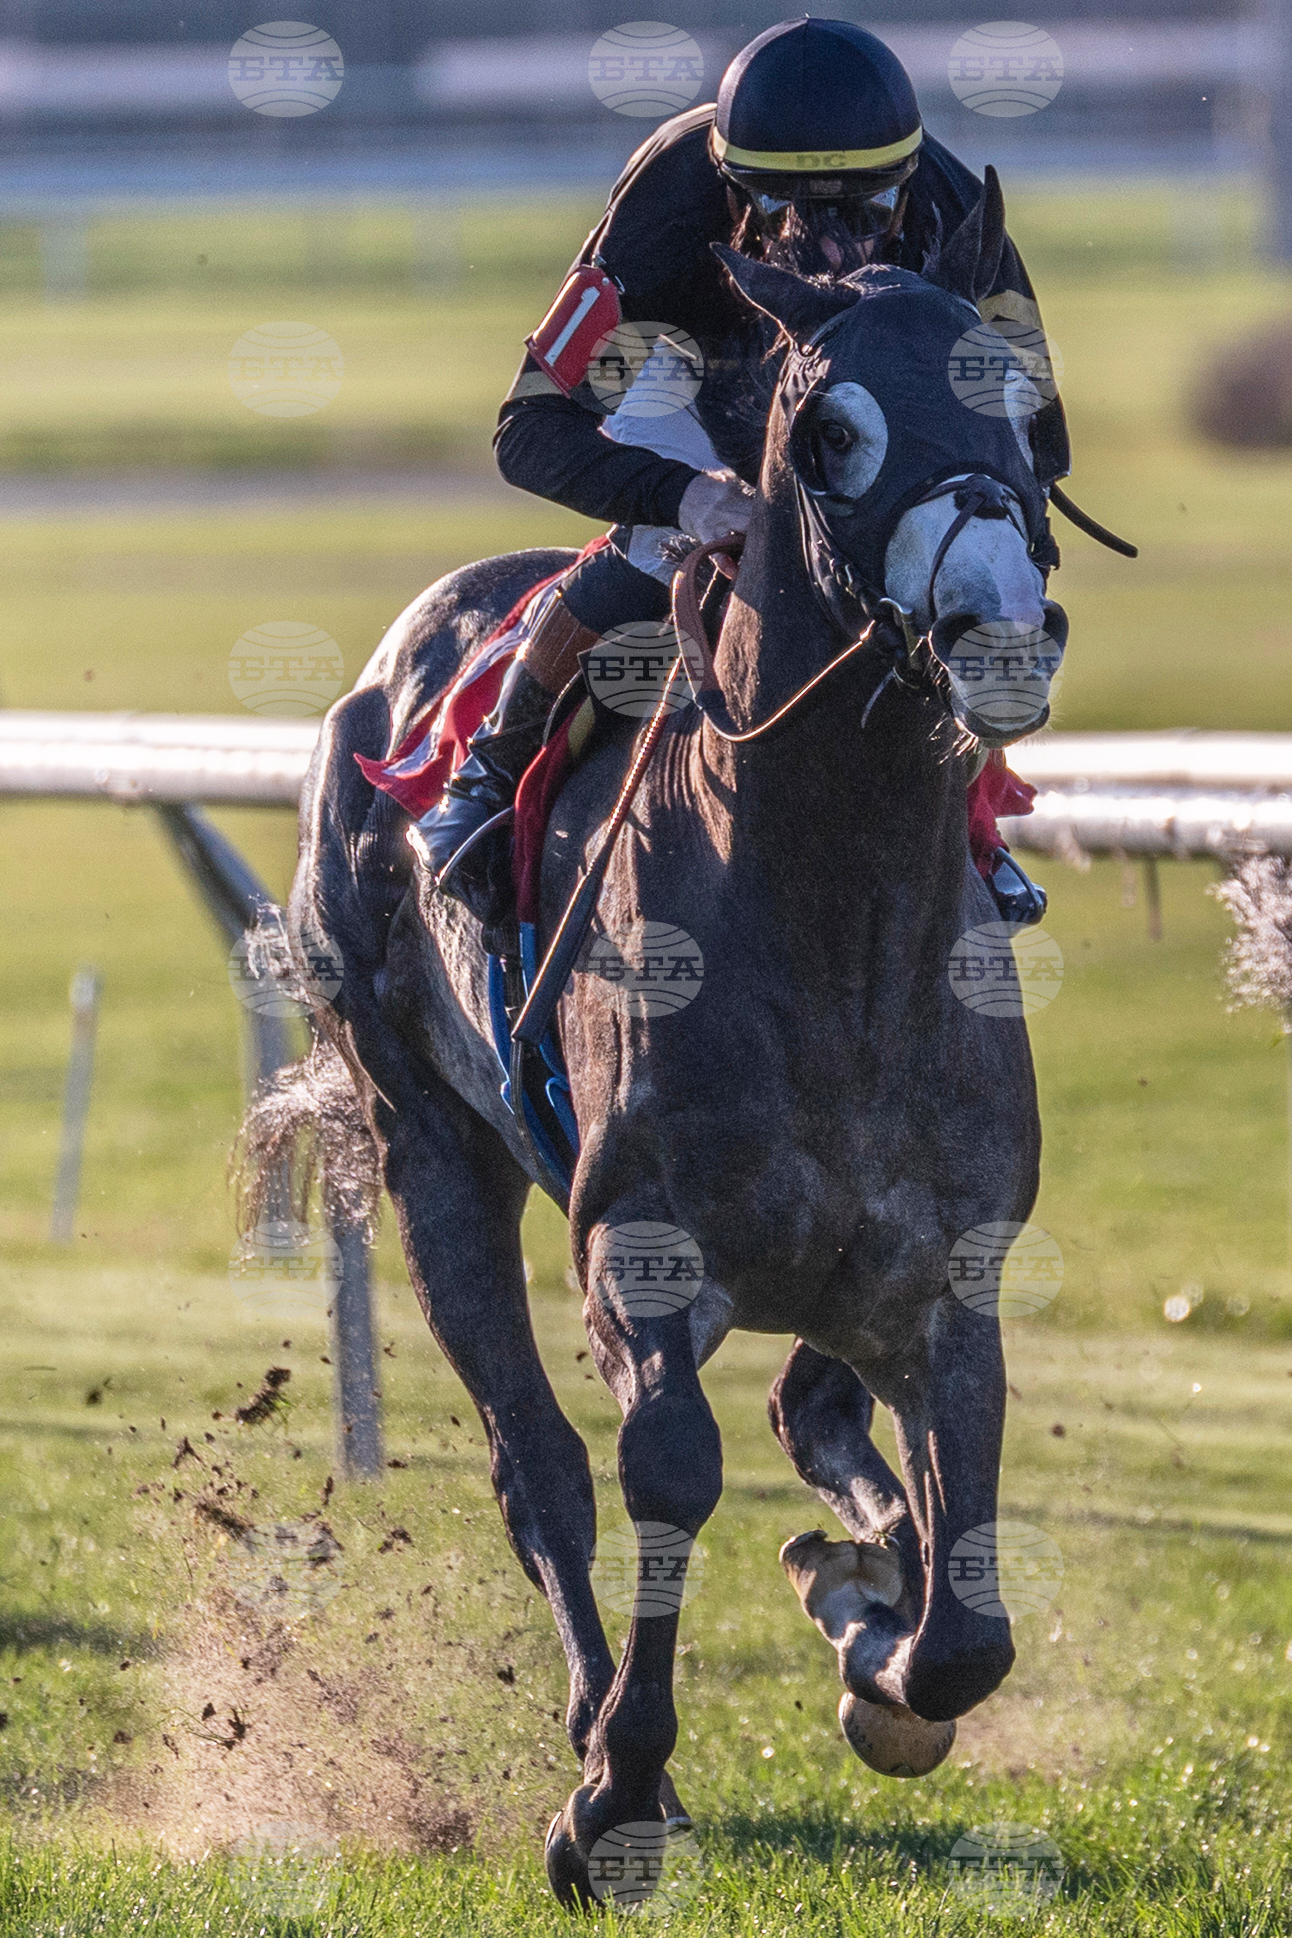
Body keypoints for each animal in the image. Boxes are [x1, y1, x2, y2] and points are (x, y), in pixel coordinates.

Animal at [241, 173, 1067, 1907]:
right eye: (828, 430)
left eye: (1024, 407)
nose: (999, 627)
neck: (837, 933)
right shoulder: (637, 1241)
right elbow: (665, 1469)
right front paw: (617, 1790)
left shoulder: (949, 1264)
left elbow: (962, 1604)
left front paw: (871, 1626)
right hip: (428, 1142)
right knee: (537, 1455)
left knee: (816, 1416)